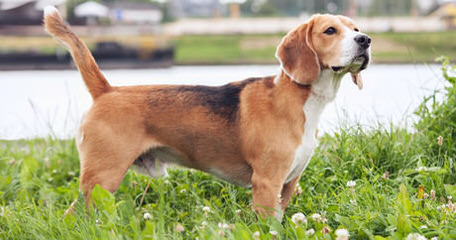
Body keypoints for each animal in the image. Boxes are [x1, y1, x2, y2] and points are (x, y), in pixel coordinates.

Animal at [43, 6, 370, 218]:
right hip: (101, 179)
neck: (300, 99)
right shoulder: (266, 183)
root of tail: (106, 90)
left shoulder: (288, 184)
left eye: (355, 29)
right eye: (330, 30)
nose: (366, 39)